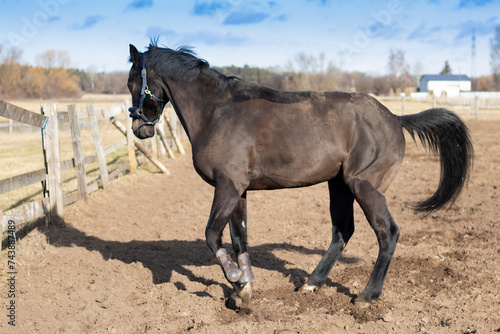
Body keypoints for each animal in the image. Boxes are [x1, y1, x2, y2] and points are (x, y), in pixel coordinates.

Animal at [125, 43, 472, 306]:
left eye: (131, 84)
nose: (140, 129)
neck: (216, 112)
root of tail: (394, 118)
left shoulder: (228, 186)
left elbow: (213, 236)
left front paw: (236, 280)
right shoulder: (239, 190)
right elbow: (239, 239)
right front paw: (244, 289)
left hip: (364, 187)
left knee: (388, 233)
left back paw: (366, 296)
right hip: (339, 186)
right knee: (342, 233)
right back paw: (311, 283)